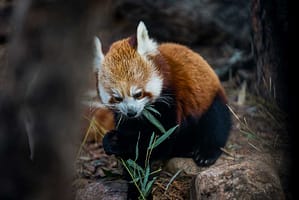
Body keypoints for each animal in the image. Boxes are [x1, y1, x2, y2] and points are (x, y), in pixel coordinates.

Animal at [94, 20, 232, 167]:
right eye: (117, 98)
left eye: (138, 94)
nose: (131, 112)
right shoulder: (125, 116)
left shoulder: (171, 98)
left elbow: (161, 138)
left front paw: (121, 143)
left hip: (209, 98)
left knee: (216, 122)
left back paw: (206, 153)